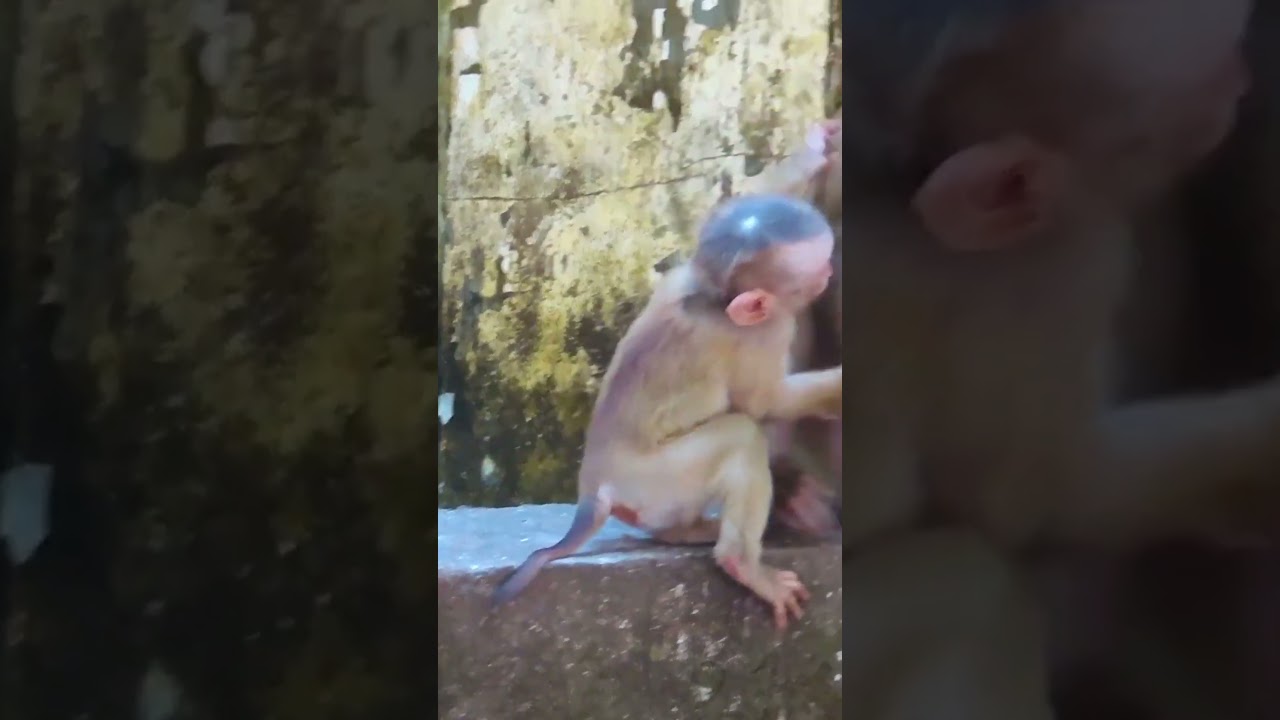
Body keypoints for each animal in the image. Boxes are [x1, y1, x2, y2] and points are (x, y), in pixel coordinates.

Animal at [490, 194, 842, 629]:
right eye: (817, 267)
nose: (830, 270)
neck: (713, 296)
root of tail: (593, 489)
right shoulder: (766, 330)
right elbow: (763, 403)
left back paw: (681, 533)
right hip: (657, 479)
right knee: (741, 434)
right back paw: (742, 564)